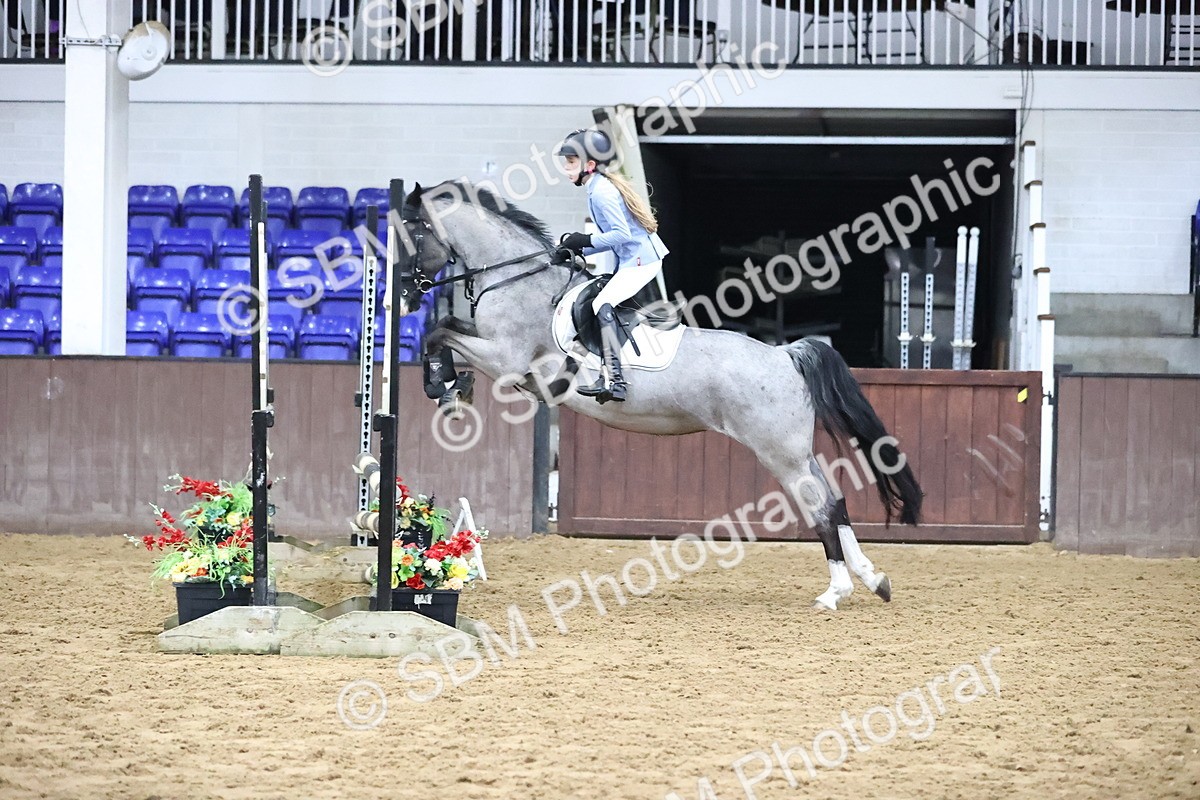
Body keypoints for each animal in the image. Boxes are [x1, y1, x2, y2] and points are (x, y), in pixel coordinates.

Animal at [398, 179, 923, 611]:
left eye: (412, 234)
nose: (405, 291)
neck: (518, 279)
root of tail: (783, 354)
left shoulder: (506, 360)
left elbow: (439, 332)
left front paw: (445, 387)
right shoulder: (497, 353)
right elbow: (446, 329)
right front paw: (452, 386)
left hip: (780, 453)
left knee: (819, 507)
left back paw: (836, 591)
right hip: (797, 449)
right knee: (835, 501)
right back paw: (873, 580)